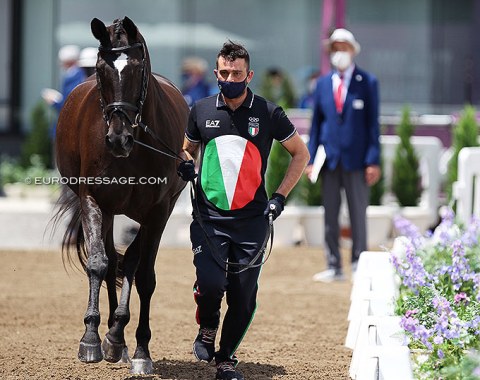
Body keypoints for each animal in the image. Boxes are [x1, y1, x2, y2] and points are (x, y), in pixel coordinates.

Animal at [55, 17, 189, 374]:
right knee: (113, 261)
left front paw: (141, 350)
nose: (118, 139)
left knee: (130, 262)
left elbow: (144, 276)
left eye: (137, 68)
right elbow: (99, 263)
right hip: (111, 210)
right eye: (101, 69)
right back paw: (112, 339)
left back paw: (120, 337)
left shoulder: (158, 211)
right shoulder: (93, 199)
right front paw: (90, 338)